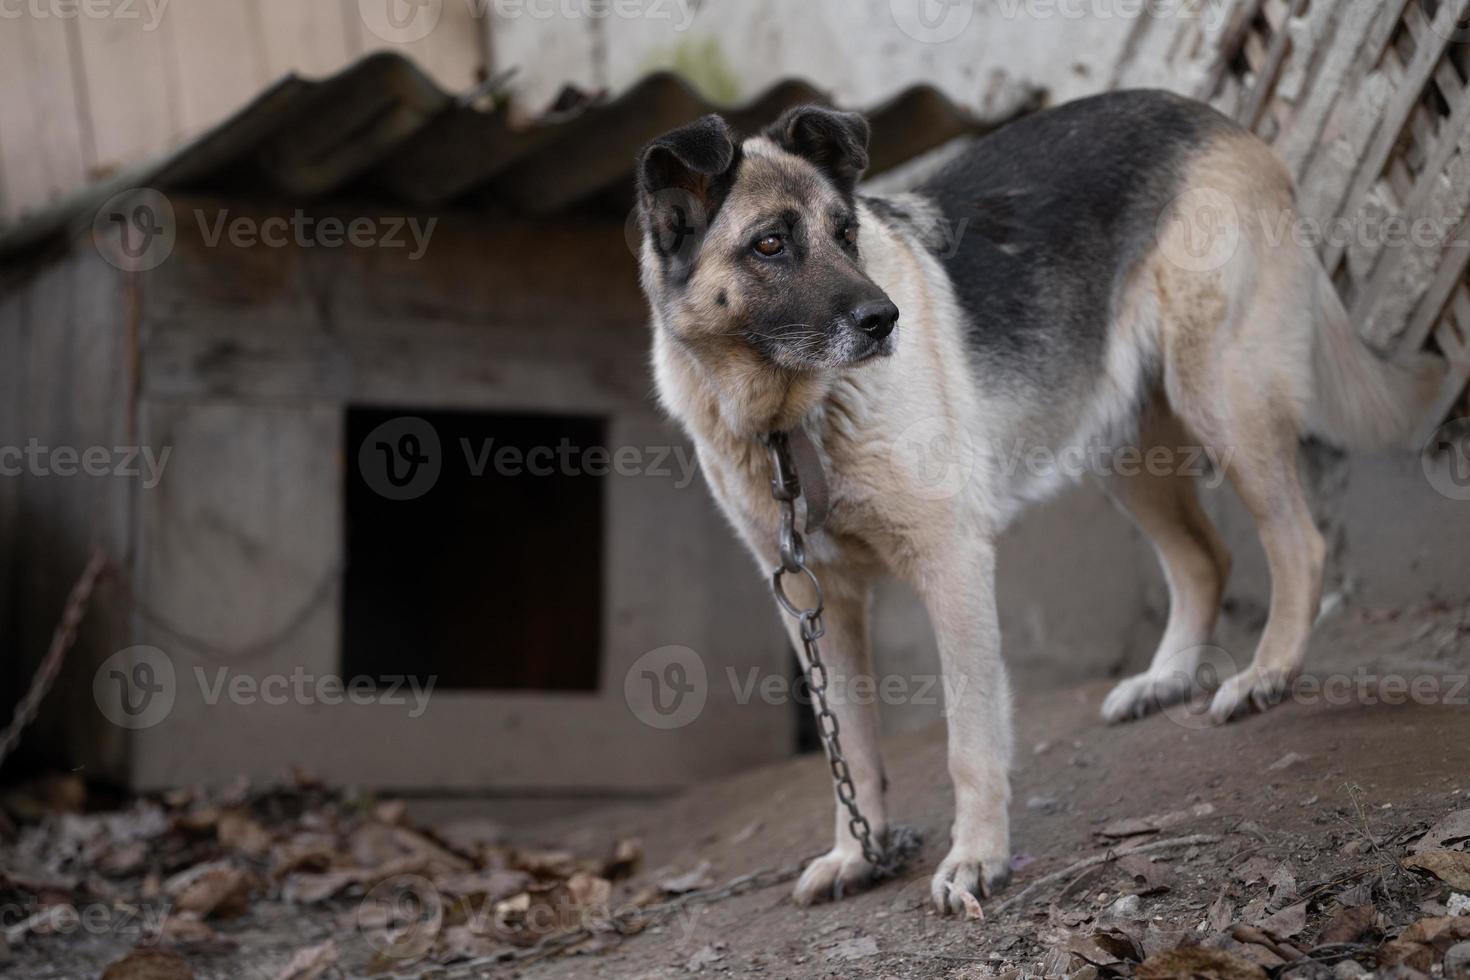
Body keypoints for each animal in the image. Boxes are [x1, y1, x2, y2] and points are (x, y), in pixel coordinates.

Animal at [632, 89, 1446, 910]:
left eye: (846, 235)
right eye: (770, 244)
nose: (885, 322)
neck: (789, 421)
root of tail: (1211, 115)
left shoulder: (952, 564)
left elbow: (969, 737)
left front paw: (976, 856)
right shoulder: (814, 599)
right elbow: (851, 748)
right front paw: (858, 853)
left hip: (1222, 396)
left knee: (1298, 544)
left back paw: (1267, 673)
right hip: (1126, 451)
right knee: (1205, 558)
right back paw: (1167, 678)